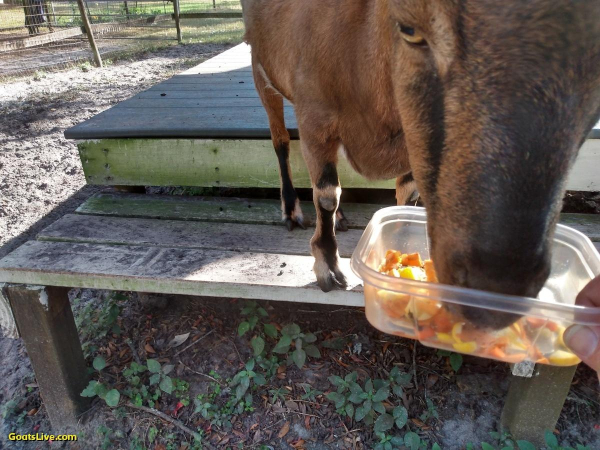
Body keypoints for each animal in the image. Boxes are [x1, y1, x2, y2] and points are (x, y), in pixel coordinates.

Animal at [241, 0, 600, 328]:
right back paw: (291, 211)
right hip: (261, 68)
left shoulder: (410, 144)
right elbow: (327, 194)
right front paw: (328, 266)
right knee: (281, 141)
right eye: (409, 29)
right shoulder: (316, 116)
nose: (497, 286)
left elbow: (407, 191)